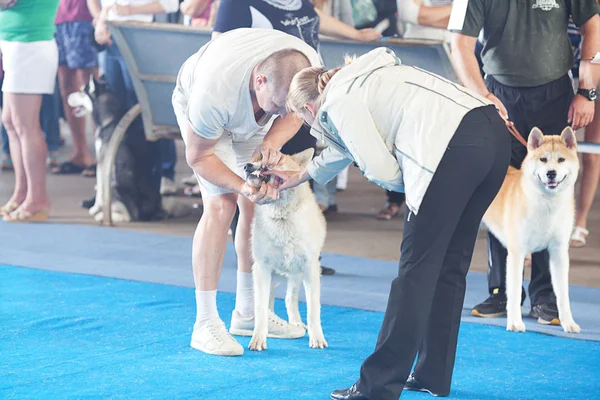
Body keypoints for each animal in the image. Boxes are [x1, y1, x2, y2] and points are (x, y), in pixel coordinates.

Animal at [244, 149, 328, 350]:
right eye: (256, 159)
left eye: (272, 161)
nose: (247, 165)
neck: (282, 218)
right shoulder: (262, 269)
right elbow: (260, 308)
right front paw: (258, 338)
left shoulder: (310, 269)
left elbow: (313, 310)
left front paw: (317, 338)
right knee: (272, 301)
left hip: (296, 275)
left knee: (291, 299)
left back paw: (296, 324)